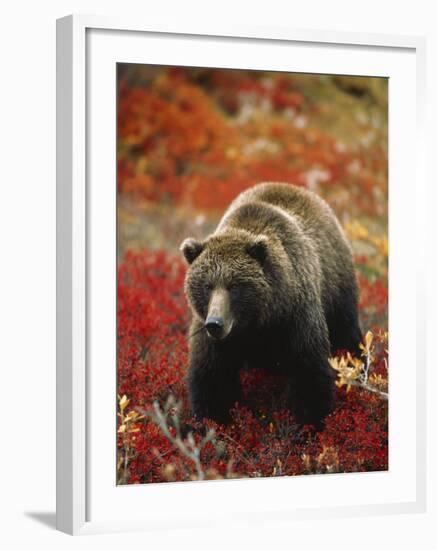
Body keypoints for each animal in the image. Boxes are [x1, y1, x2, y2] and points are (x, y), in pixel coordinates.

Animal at [180, 183, 362, 430]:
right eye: (207, 285)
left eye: (234, 285)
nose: (215, 324)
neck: (257, 322)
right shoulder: (213, 337)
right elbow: (212, 377)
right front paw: (214, 422)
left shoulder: (295, 317)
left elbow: (309, 371)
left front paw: (310, 424)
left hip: (337, 287)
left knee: (347, 334)